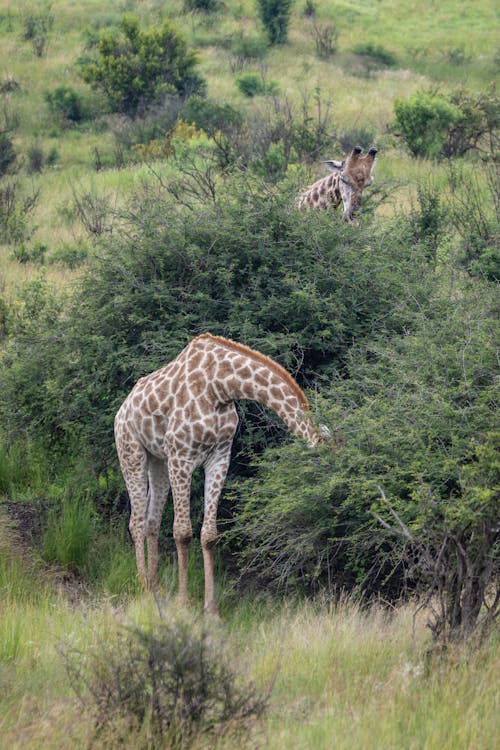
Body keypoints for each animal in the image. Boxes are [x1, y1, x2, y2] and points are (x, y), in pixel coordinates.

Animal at [114, 334, 328, 616]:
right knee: (136, 521)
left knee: (151, 520)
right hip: (131, 452)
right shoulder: (182, 456)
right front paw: (184, 605)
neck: (221, 386)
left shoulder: (219, 458)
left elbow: (209, 535)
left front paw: (211, 610)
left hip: (158, 460)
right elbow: (182, 532)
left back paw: (156, 586)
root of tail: (122, 409)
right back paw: (144, 588)